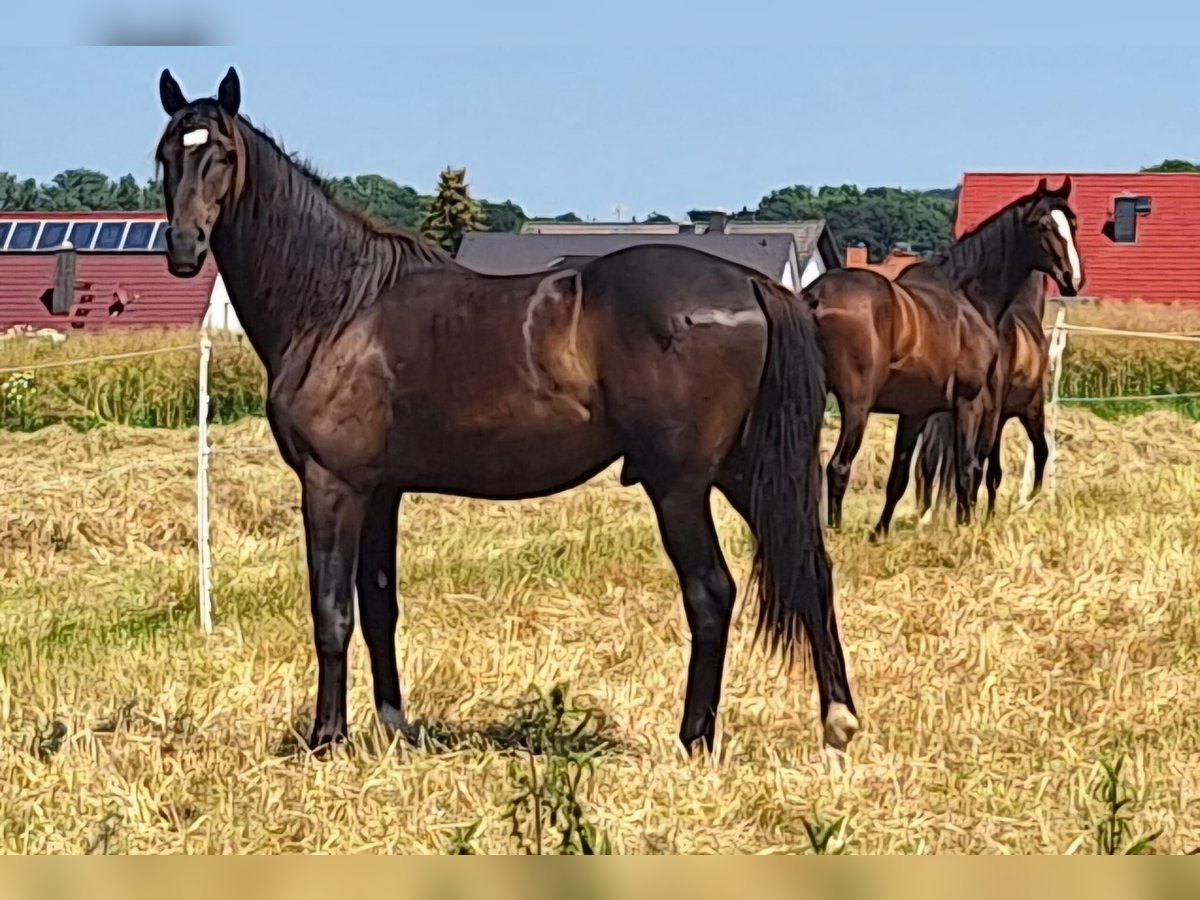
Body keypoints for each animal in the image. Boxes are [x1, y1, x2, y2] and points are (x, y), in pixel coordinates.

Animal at [154, 68, 858, 756]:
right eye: (165, 155)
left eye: (220, 155)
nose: (184, 249)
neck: (338, 305)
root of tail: (754, 284)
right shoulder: (380, 492)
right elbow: (379, 608)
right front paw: (393, 727)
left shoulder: (333, 486)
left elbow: (331, 611)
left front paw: (325, 738)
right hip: (743, 471)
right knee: (812, 571)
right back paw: (837, 721)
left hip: (679, 485)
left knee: (711, 593)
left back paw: (695, 737)